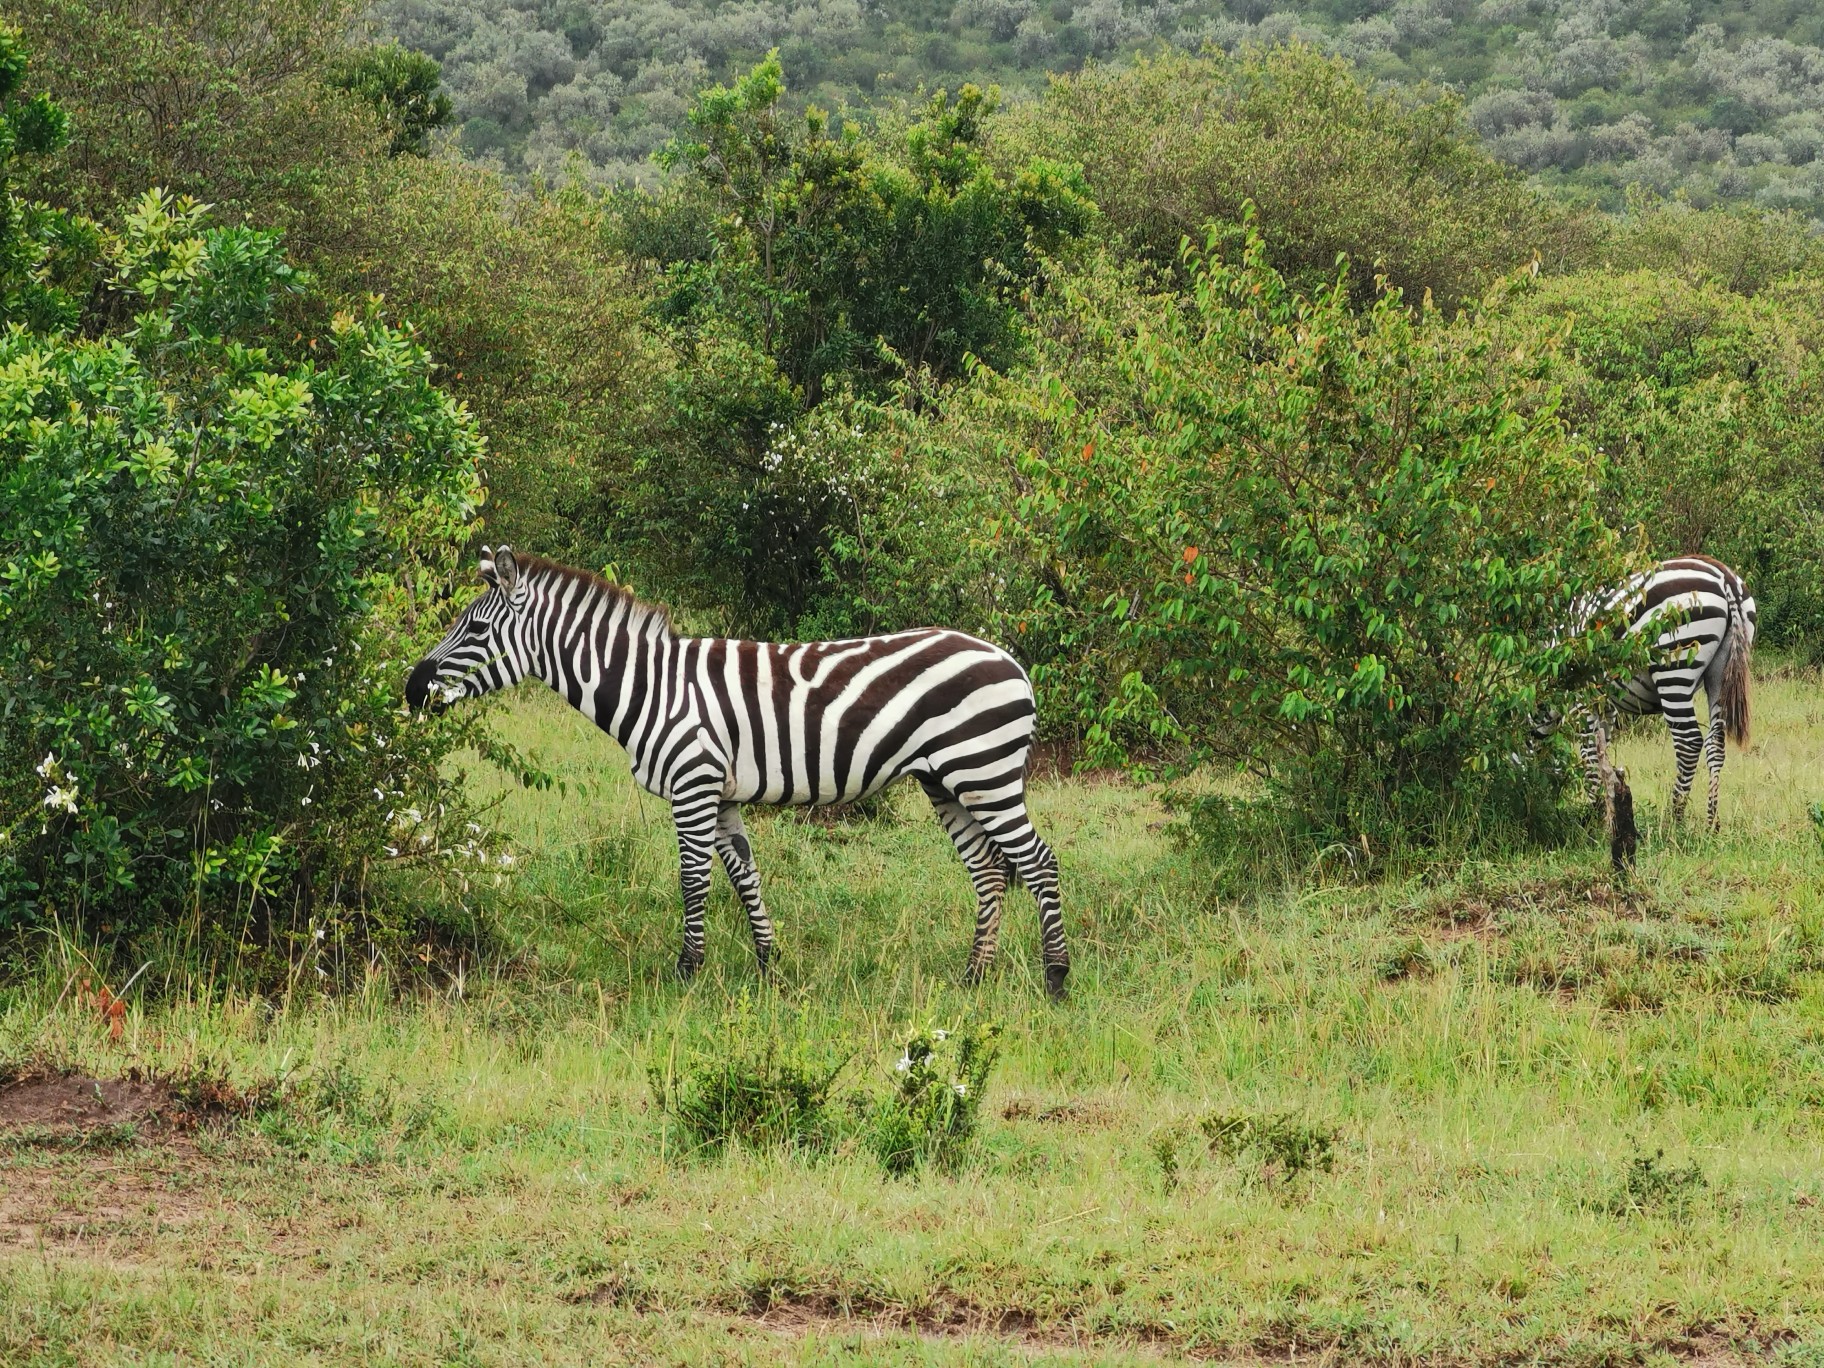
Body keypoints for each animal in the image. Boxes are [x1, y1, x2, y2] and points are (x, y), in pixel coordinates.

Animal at [403, 547, 1065, 999]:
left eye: (476, 628)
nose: (411, 690)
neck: (653, 688)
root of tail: (1012, 662)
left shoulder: (692, 783)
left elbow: (693, 882)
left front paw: (686, 974)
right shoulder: (721, 794)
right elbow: (746, 877)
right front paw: (770, 967)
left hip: (984, 770)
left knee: (1038, 863)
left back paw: (1056, 978)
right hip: (947, 780)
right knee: (989, 870)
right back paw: (974, 977)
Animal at [1554, 554, 1751, 831]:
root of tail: (1725, 578)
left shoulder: (1582, 699)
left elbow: (1589, 753)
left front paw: (1595, 816)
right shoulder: (1605, 706)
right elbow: (1601, 751)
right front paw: (1607, 812)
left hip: (1675, 664)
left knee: (1689, 742)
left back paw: (1673, 821)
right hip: (1721, 673)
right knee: (1716, 743)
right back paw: (1712, 824)